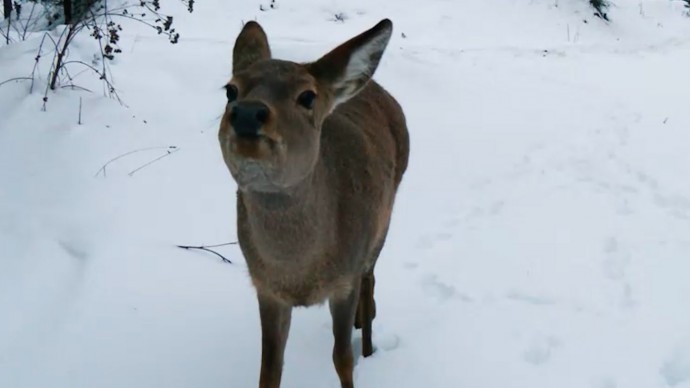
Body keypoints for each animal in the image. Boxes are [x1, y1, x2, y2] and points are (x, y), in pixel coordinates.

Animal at [218, 19, 406, 388]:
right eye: (230, 89)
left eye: (307, 95)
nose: (246, 113)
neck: (298, 274)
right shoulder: (265, 287)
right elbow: (269, 369)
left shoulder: (345, 279)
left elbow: (342, 358)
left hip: (384, 219)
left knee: (370, 280)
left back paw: (368, 339)